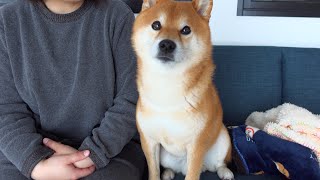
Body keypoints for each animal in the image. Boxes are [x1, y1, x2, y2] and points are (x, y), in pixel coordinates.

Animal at [131, 0, 234, 179]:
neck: (166, 88)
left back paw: (225, 172)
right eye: (156, 25)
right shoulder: (149, 141)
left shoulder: (196, 145)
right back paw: (169, 172)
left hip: (222, 138)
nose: (166, 44)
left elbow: (192, 175)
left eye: (186, 29)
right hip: (165, 156)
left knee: (219, 164)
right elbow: (153, 171)